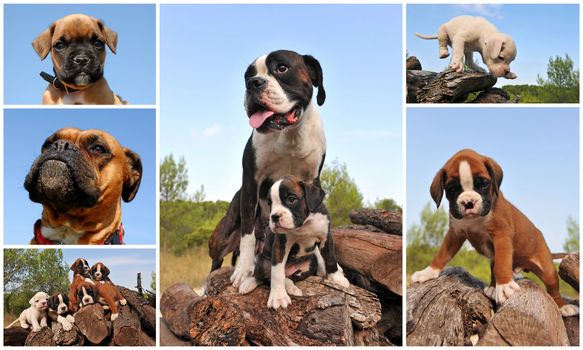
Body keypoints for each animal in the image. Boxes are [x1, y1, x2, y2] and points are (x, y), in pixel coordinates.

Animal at [214, 51, 334, 292]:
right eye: (247, 76)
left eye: (281, 68)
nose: (253, 83)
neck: (290, 135)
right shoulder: (251, 182)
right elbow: (248, 233)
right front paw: (243, 270)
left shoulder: (312, 179)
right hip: (223, 237)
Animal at [240, 176, 350, 308]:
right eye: (270, 204)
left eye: (291, 199)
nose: (274, 216)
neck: (305, 222)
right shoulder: (280, 245)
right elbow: (277, 273)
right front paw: (278, 297)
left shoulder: (326, 237)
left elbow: (330, 259)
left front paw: (337, 278)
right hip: (262, 260)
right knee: (262, 277)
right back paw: (248, 283)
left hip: (310, 262)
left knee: (289, 277)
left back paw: (291, 287)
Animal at [410, 148, 580, 318]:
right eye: (452, 189)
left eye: (483, 184)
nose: (468, 202)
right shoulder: (455, 234)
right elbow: (442, 254)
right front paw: (428, 272)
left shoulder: (501, 236)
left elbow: (502, 263)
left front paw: (504, 285)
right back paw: (493, 287)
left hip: (547, 270)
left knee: (553, 289)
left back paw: (563, 307)